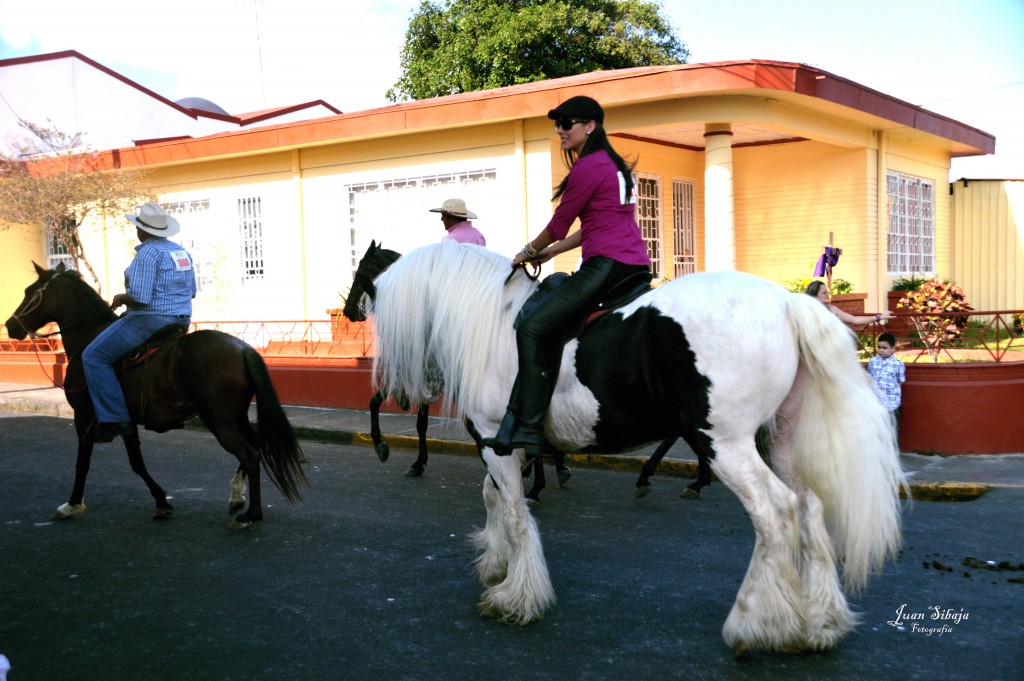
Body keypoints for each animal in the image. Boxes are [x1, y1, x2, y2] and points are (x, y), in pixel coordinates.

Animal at [4, 262, 307, 528]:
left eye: (29, 291)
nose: (10, 325)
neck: (87, 339)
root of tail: (242, 348)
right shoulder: (125, 421)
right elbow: (135, 462)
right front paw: (161, 501)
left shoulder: (85, 417)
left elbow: (86, 463)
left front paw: (73, 504)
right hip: (236, 417)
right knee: (254, 448)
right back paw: (236, 497)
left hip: (219, 421)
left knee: (250, 455)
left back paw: (251, 515)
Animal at [368, 242, 905, 655]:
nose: (402, 394)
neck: (493, 320)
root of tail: (787, 303)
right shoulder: (503, 447)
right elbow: (493, 498)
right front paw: (496, 564)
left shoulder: (499, 446)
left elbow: (516, 514)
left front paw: (517, 597)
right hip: (780, 440)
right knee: (810, 509)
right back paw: (819, 622)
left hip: (726, 445)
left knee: (776, 514)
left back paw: (756, 623)